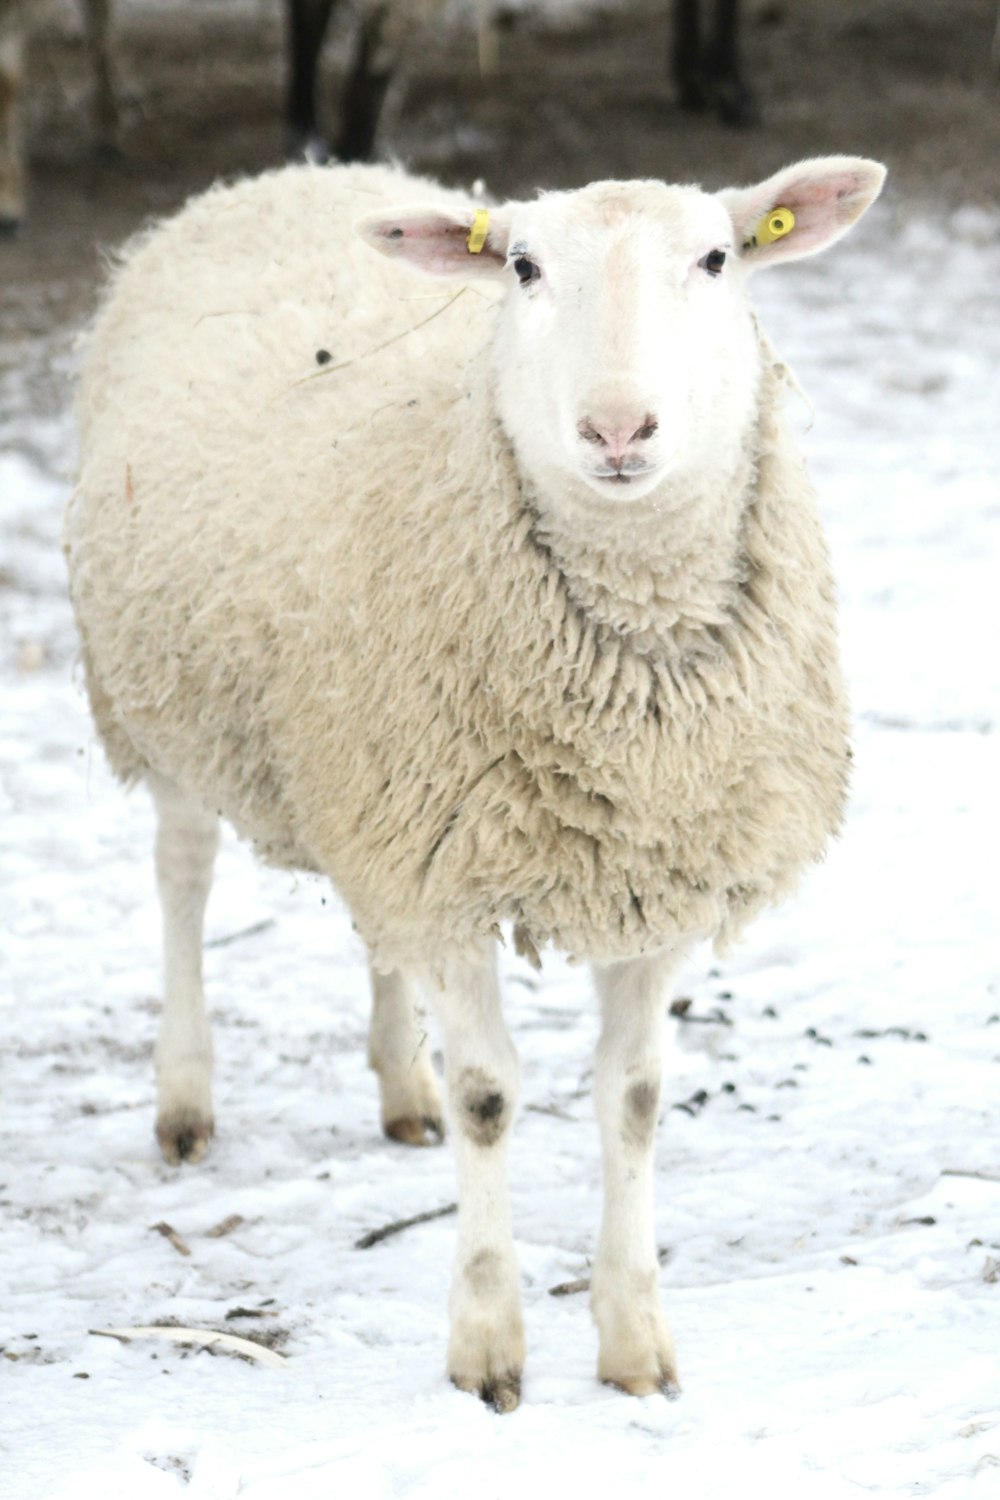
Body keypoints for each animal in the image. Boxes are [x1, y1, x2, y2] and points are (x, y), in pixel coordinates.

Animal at [66, 152, 881, 1404]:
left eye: (715, 257)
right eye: (525, 266)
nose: (615, 425)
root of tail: (290, 172)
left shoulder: (641, 863)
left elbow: (635, 1097)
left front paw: (633, 1344)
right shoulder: (444, 867)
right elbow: (491, 1098)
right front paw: (488, 1349)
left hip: (366, 787)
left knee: (373, 938)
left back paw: (402, 1088)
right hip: (163, 706)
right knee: (183, 876)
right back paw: (185, 1099)